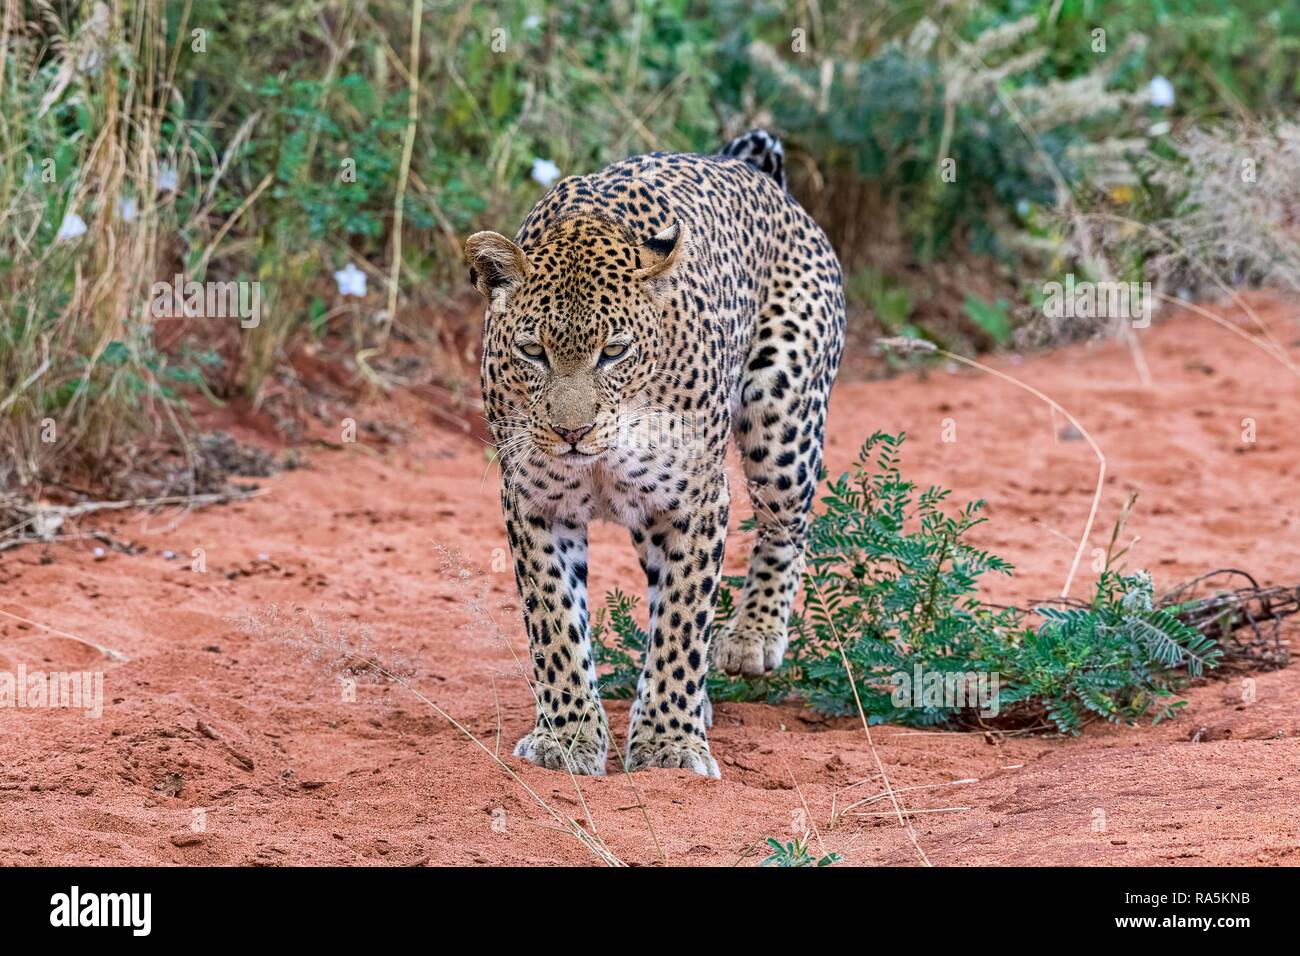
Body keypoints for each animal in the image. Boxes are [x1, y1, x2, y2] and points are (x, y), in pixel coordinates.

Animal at [465, 132, 842, 780]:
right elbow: (555, 624)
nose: (572, 432)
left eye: (614, 352)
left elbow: (682, 623)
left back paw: (751, 637)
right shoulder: (535, 502)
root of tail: (749, 169)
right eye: (533, 352)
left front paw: (669, 742)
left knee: (786, 527)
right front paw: (567, 736)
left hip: (782, 417)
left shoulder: (696, 501)